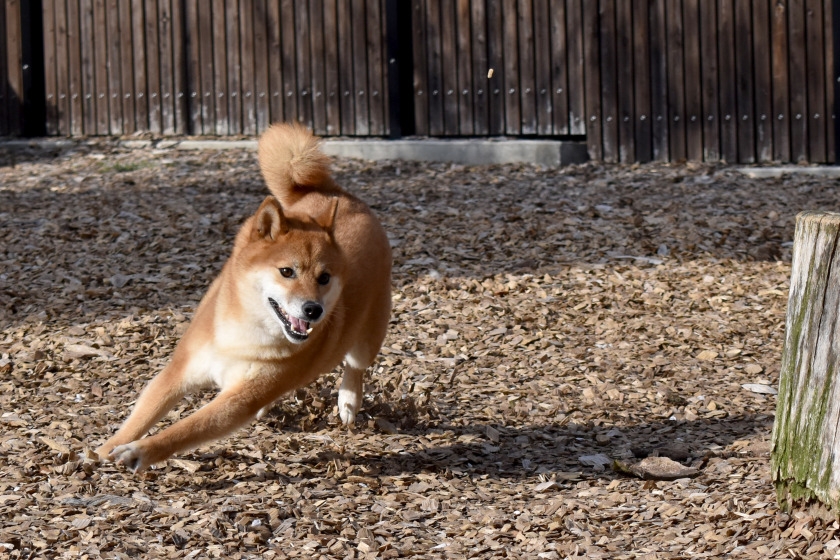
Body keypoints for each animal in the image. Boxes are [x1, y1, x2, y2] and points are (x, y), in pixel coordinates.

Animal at [96, 123, 394, 472]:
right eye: (286, 272)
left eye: (324, 278)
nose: (313, 310)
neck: (243, 332)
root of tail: (340, 195)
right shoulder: (179, 372)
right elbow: (142, 415)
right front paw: (104, 450)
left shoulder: (241, 398)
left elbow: (185, 429)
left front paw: (138, 451)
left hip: (368, 337)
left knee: (355, 367)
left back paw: (348, 400)